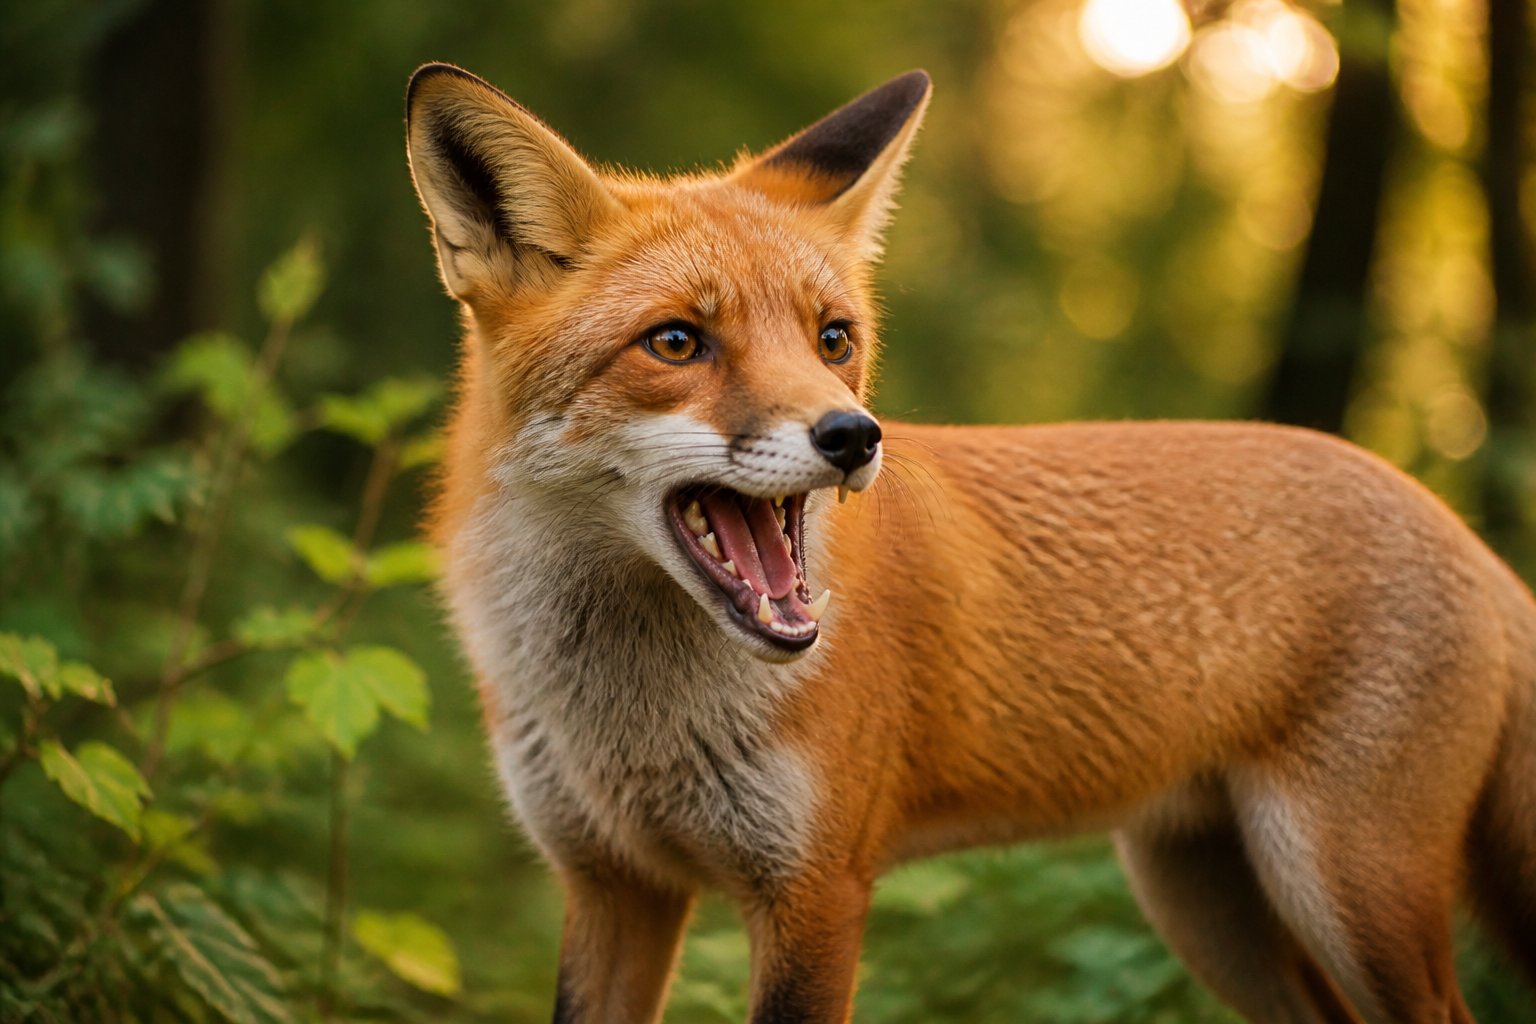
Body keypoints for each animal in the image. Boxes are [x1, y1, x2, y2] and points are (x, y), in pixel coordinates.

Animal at [404, 63, 1536, 1024]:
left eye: (833, 338)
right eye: (677, 341)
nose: (854, 436)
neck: (633, 723)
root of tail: (1450, 521)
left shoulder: (818, 891)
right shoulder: (612, 884)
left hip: (1348, 889)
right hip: (1210, 904)